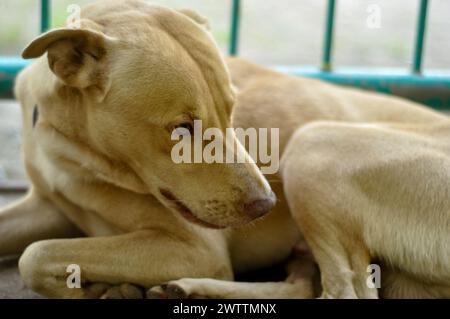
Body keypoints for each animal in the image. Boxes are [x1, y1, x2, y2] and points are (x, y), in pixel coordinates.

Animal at [0, 0, 448, 300]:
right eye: (181, 128)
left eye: (230, 109)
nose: (268, 204)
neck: (73, 149)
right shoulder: (47, 205)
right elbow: (32, 249)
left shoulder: (196, 249)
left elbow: (34, 255)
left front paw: (93, 287)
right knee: (304, 286)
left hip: (314, 142)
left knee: (343, 292)